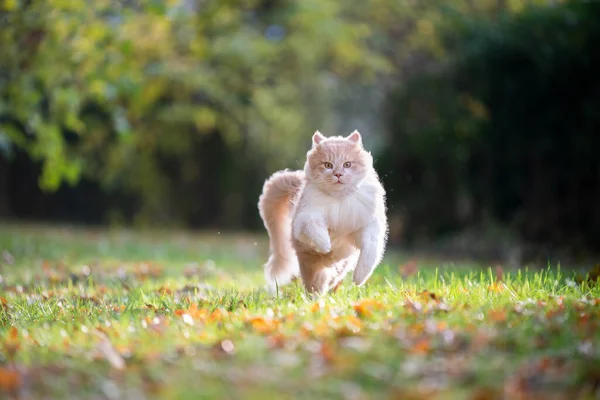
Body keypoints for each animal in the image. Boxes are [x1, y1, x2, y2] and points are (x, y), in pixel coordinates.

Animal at [258, 130, 390, 296]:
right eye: (328, 165)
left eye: (347, 164)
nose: (338, 174)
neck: (339, 201)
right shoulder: (304, 220)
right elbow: (315, 228)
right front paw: (326, 245)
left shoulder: (367, 228)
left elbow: (370, 253)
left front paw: (359, 278)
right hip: (309, 264)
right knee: (315, 285)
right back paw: (316, 297)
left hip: (341, 263)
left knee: (334, 276)